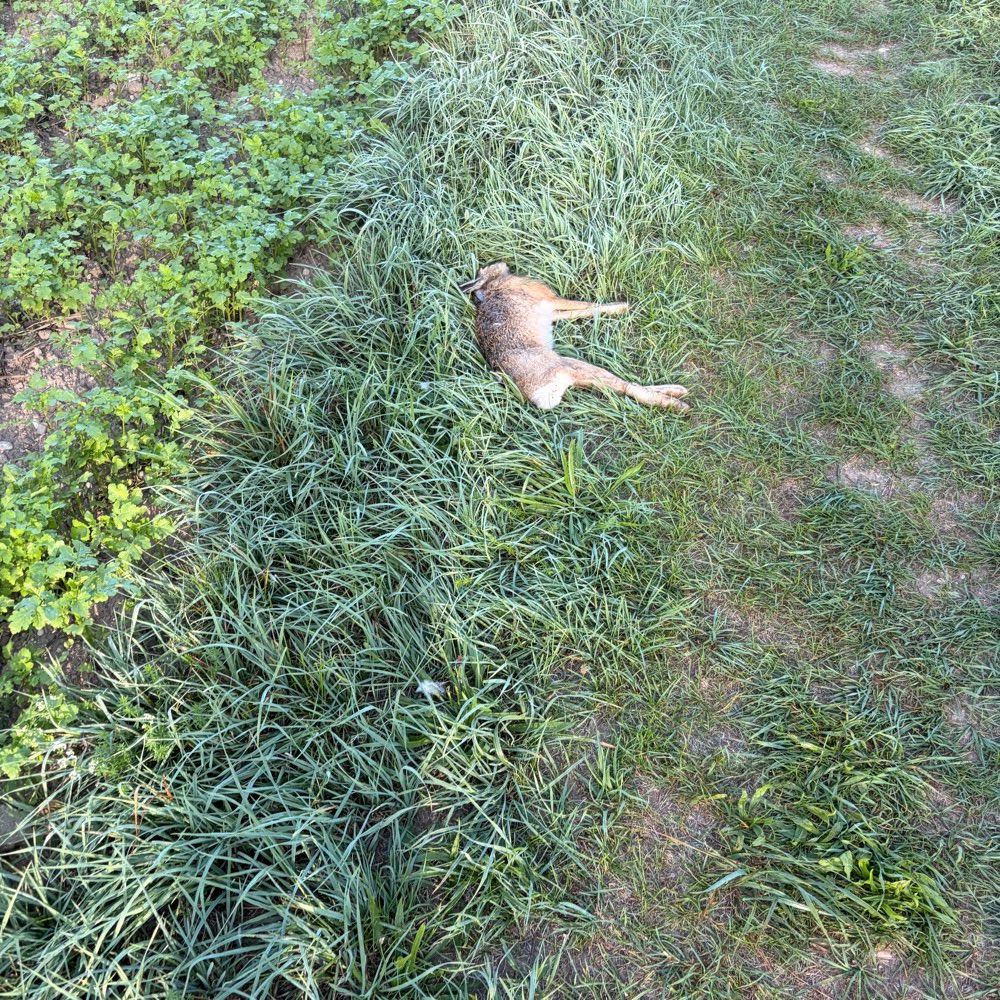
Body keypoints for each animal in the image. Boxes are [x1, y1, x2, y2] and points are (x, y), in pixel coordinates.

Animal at [458, 262, 689, 411]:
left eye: (482, 269)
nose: (499, 263)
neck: (492, 285)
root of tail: (534, 395)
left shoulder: (552, 311)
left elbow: (582, 311)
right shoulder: (550, 300)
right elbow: (583, 305)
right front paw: (622, 306)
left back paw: (678, 391)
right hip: (569, 365)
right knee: (626, 386)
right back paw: (679, 403)